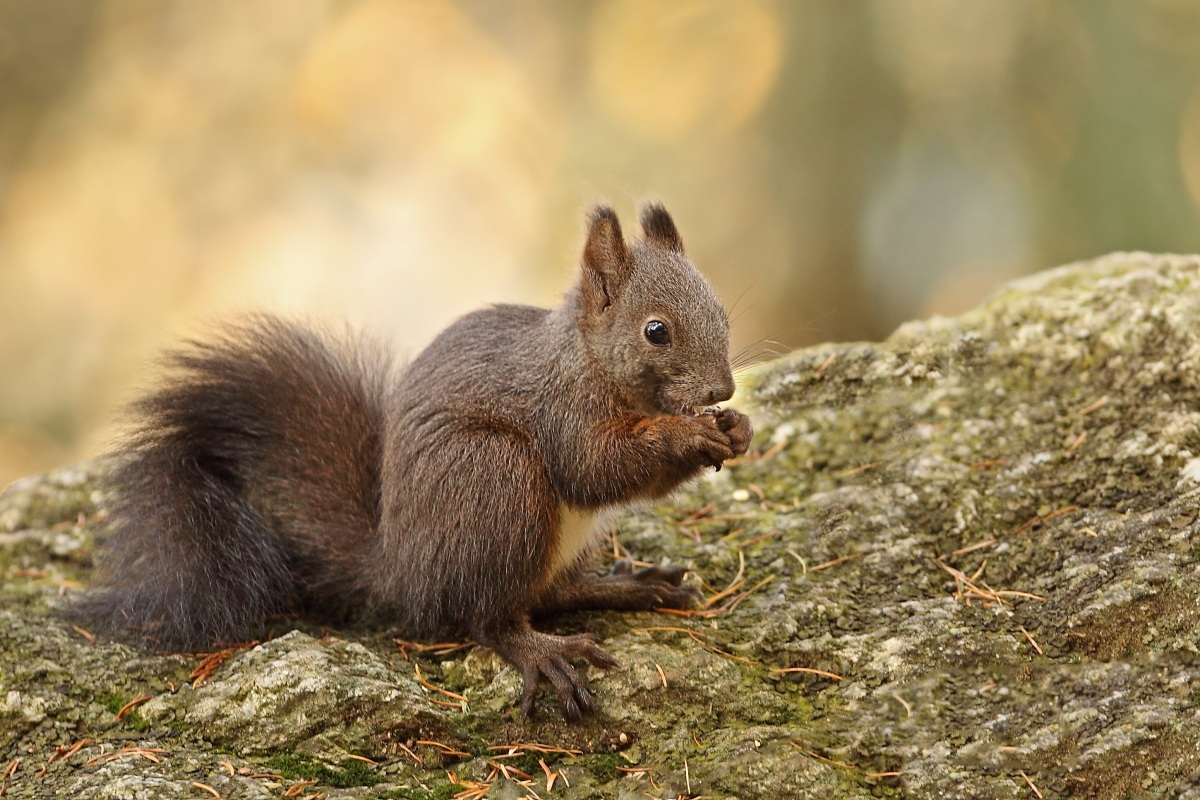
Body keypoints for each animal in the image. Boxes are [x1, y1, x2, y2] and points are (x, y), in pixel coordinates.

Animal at [75, 203, 752, 720]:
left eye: (721, 310)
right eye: (656, 331)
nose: (722, 390)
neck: (589, 360)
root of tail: (400, 569)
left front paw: (736, 429)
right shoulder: (562, 410)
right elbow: (595, 467)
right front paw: (687, 435)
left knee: (552, 590)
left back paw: (626, 585)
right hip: (495, 480)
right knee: (489, 616)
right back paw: (544, 652)